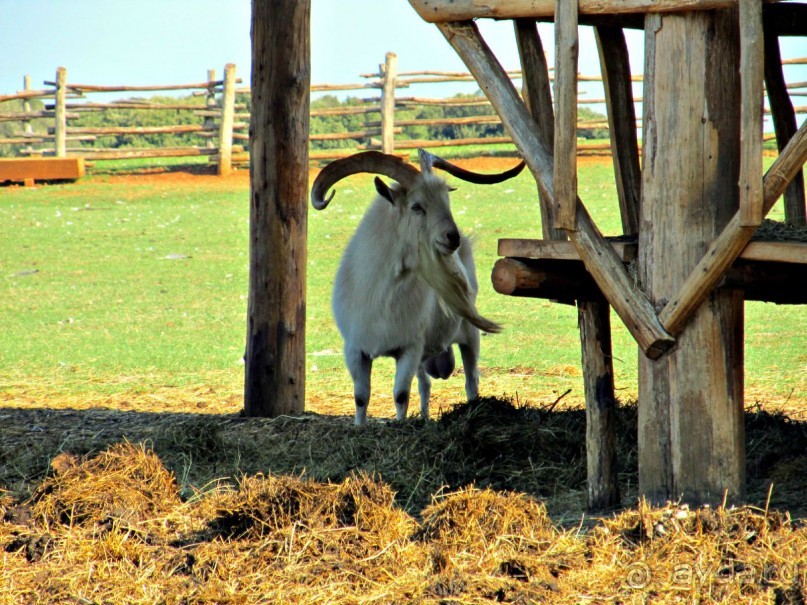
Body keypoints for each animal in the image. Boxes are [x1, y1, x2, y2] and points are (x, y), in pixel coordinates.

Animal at [310, 150, 524, 424]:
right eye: (417, 206)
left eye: (446, 201)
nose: (452, 238)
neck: (381, 296)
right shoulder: (356, 350)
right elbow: (360, 397)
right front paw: (359, 426)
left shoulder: (409, 349)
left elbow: (401, 395)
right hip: (425, 356)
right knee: (425, 385)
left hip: (468, 335)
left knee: (471, 380)